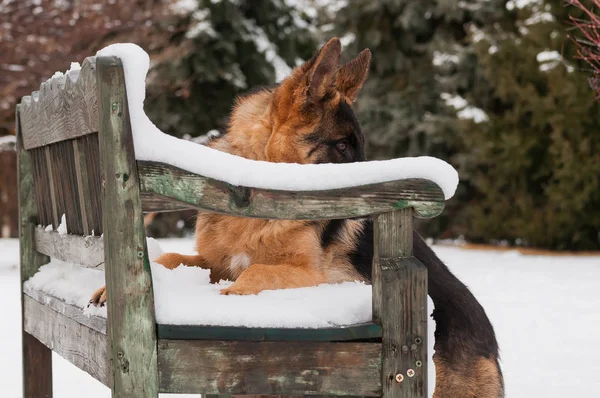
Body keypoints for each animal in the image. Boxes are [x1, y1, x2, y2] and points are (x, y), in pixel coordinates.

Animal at [90, 38, 502, 396]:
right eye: (341, 146)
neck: (257, 198)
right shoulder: (215, 263)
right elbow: (173, 257)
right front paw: (111, 288)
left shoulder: (312, 276)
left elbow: (257, 271)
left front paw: (231, 297)